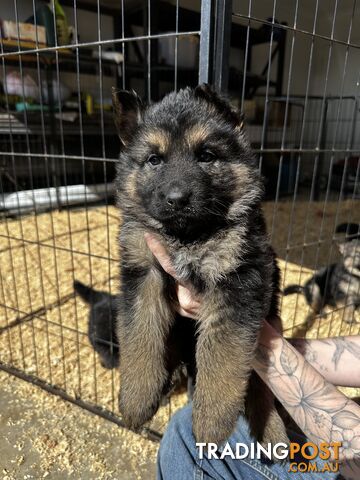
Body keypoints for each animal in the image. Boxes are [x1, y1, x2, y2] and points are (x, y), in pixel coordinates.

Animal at [111, 83, 288, 446]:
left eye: (206, 155)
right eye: (154, 159)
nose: (176, 199)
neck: (188, 236)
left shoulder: (240, 279)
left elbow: (222, 355)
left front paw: (211, 423)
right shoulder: (143, 272)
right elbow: (140, 335)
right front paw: (136, 399)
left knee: (259, 387)